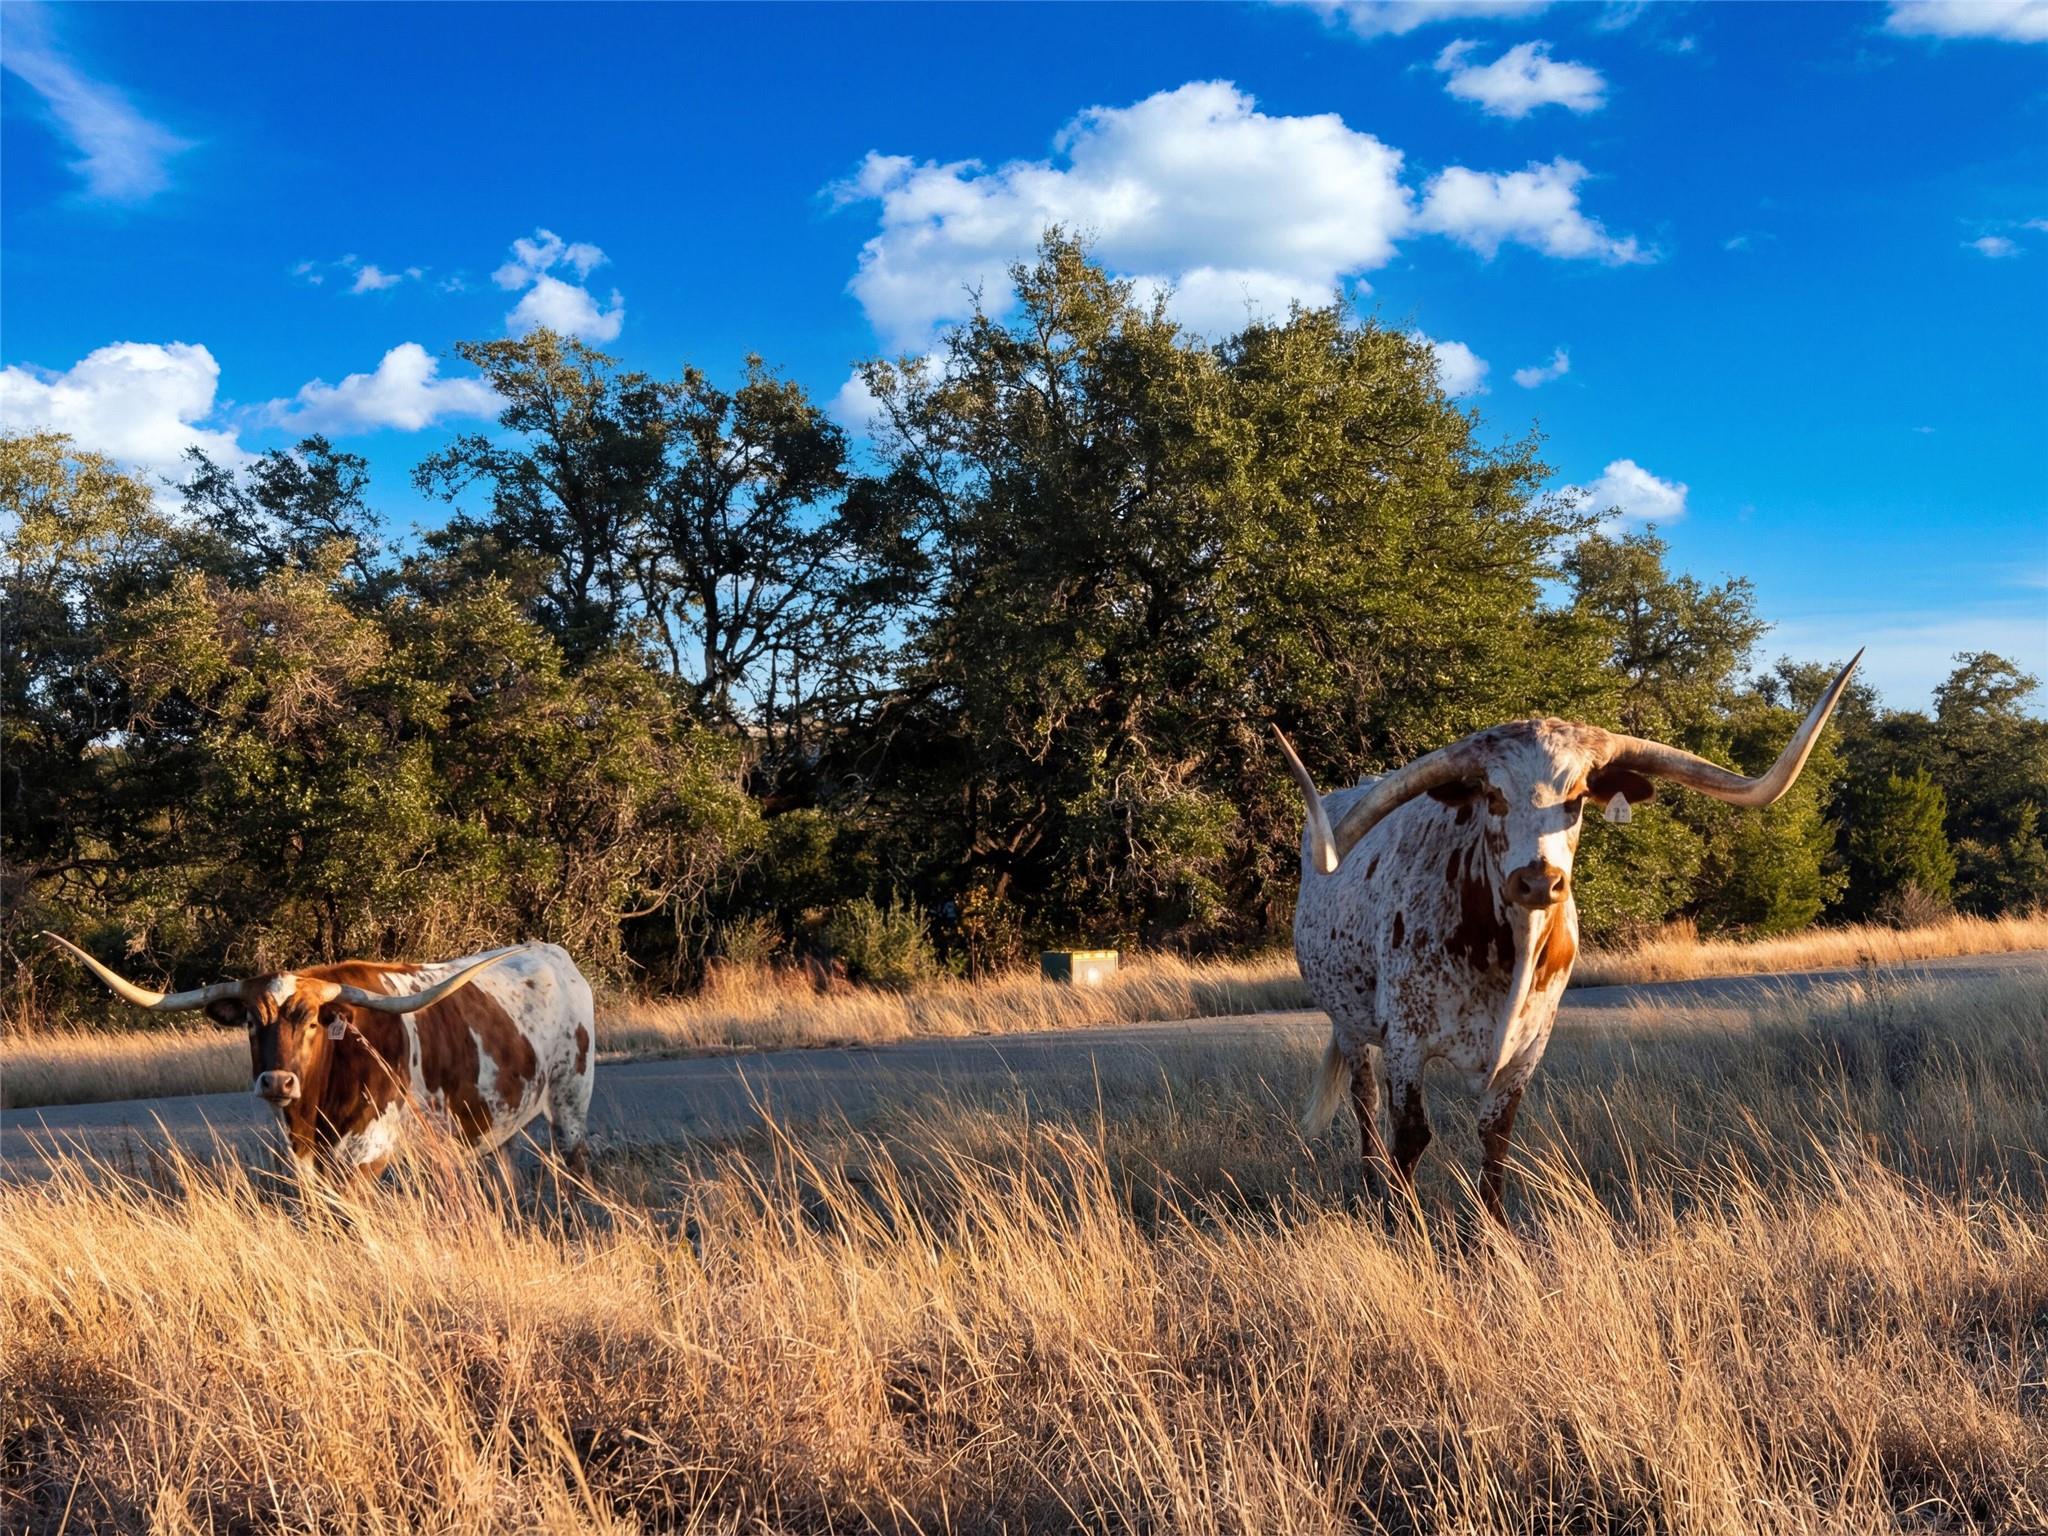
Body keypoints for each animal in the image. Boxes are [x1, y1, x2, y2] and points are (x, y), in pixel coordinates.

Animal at [43, 936, 597, 1176]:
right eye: (251, 1021)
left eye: (311, 1021)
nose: (276, 1082)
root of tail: (554, 954)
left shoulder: (368, 1156)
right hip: (496, 1120)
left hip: (571, 1103)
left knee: (574, 1168)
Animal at [1274, 651, 1860, 1221]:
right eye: (1492, 794)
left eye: (1577, 797)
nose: (1538, 881)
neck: (1507, 953)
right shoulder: (1406, 1040)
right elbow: (1411, 1139)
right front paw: (1402, 1225)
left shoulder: (1529, 1048)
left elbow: (1496, 1140)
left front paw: (1490, 1237)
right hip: (1350, 1026)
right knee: (1365, 1103)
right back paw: (1370, 1187)